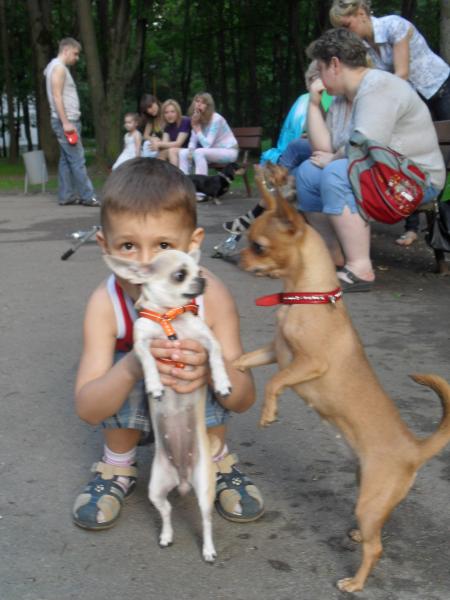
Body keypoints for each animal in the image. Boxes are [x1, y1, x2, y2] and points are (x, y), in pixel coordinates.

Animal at [104, 249, 231, 562]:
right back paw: (166, 535)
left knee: (205, 520)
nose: (202, 280)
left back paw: (208, 550)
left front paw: (221, 381)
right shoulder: (141, 344)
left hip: (205, 489)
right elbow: (148, 359)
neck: (168, 315)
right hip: (156, 489)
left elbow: (216, 355)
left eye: (200, 270)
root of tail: (183, 478)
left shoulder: (207, 341)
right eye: (180, 275)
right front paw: (154, 384)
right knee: (167, 511)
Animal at [233, 171, 450, 592]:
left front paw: (268, 412)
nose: (236, 258)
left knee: (376, 548)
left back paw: (355, 582)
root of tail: (415, 449)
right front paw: (226, 371)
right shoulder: (275, 351)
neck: (305, 298)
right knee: (379, 529)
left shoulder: (307, 364)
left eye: (258, 246)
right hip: (369, 492)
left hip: (369, 500)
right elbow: (245, 361)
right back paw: (357, 535)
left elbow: (275, 383)